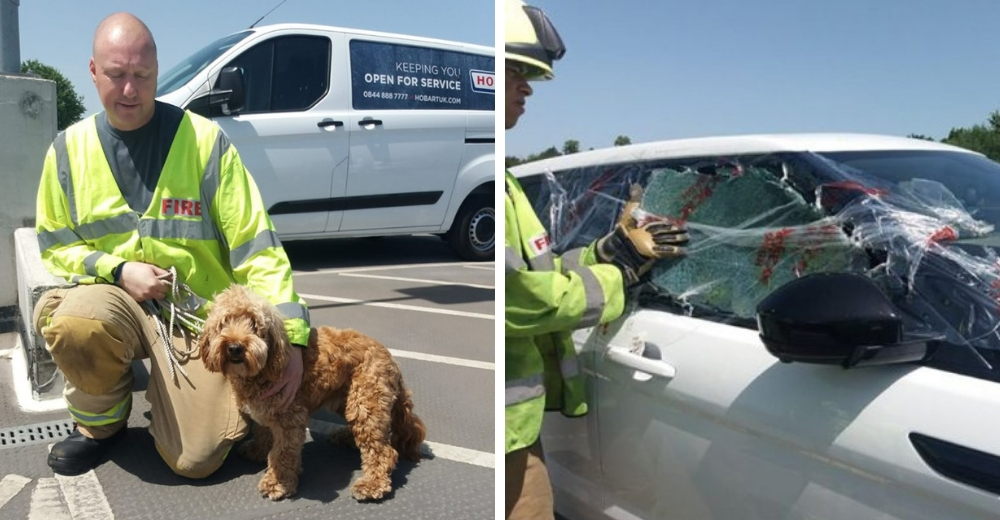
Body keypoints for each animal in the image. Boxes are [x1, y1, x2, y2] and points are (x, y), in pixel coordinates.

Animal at [198, 284, 426, 500]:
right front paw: (258, 451)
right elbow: (263, 432)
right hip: (346, 398)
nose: (235, 347)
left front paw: (278, 483)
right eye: (224, 323)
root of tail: (390, 359)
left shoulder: (290, 418)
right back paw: (346, 438)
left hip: (365, 399)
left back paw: (372, 485)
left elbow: (283, 454)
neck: (264, 369)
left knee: (383, 450)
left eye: (255, 324)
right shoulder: (262, 412)